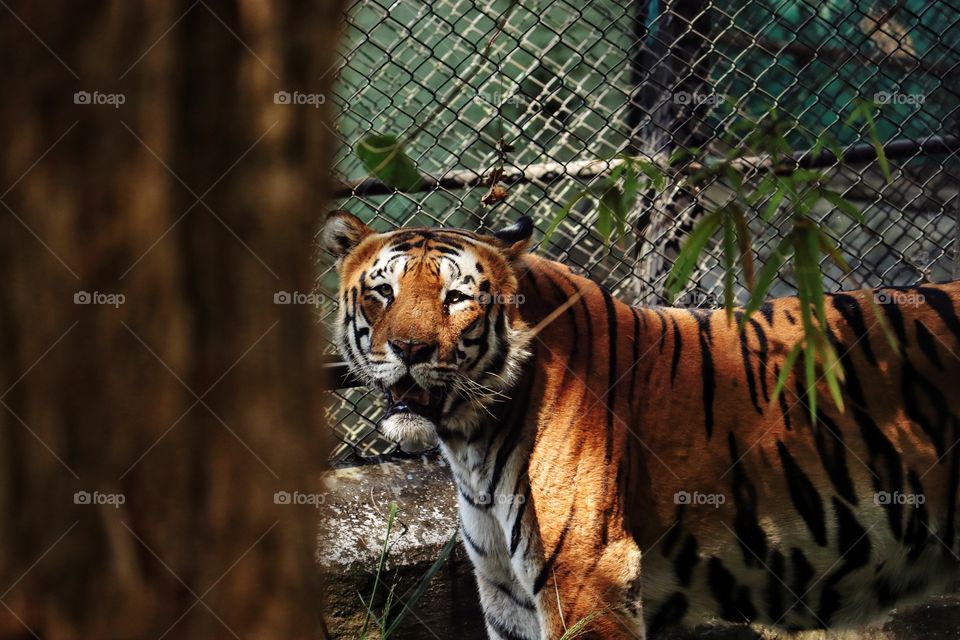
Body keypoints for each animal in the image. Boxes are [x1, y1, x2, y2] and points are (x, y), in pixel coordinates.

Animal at [321, 211, 960, 639]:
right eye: (384, 292)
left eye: (456, 297)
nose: (410, 350)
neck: (470, 441)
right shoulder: (507, 593)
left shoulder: (588, 578)